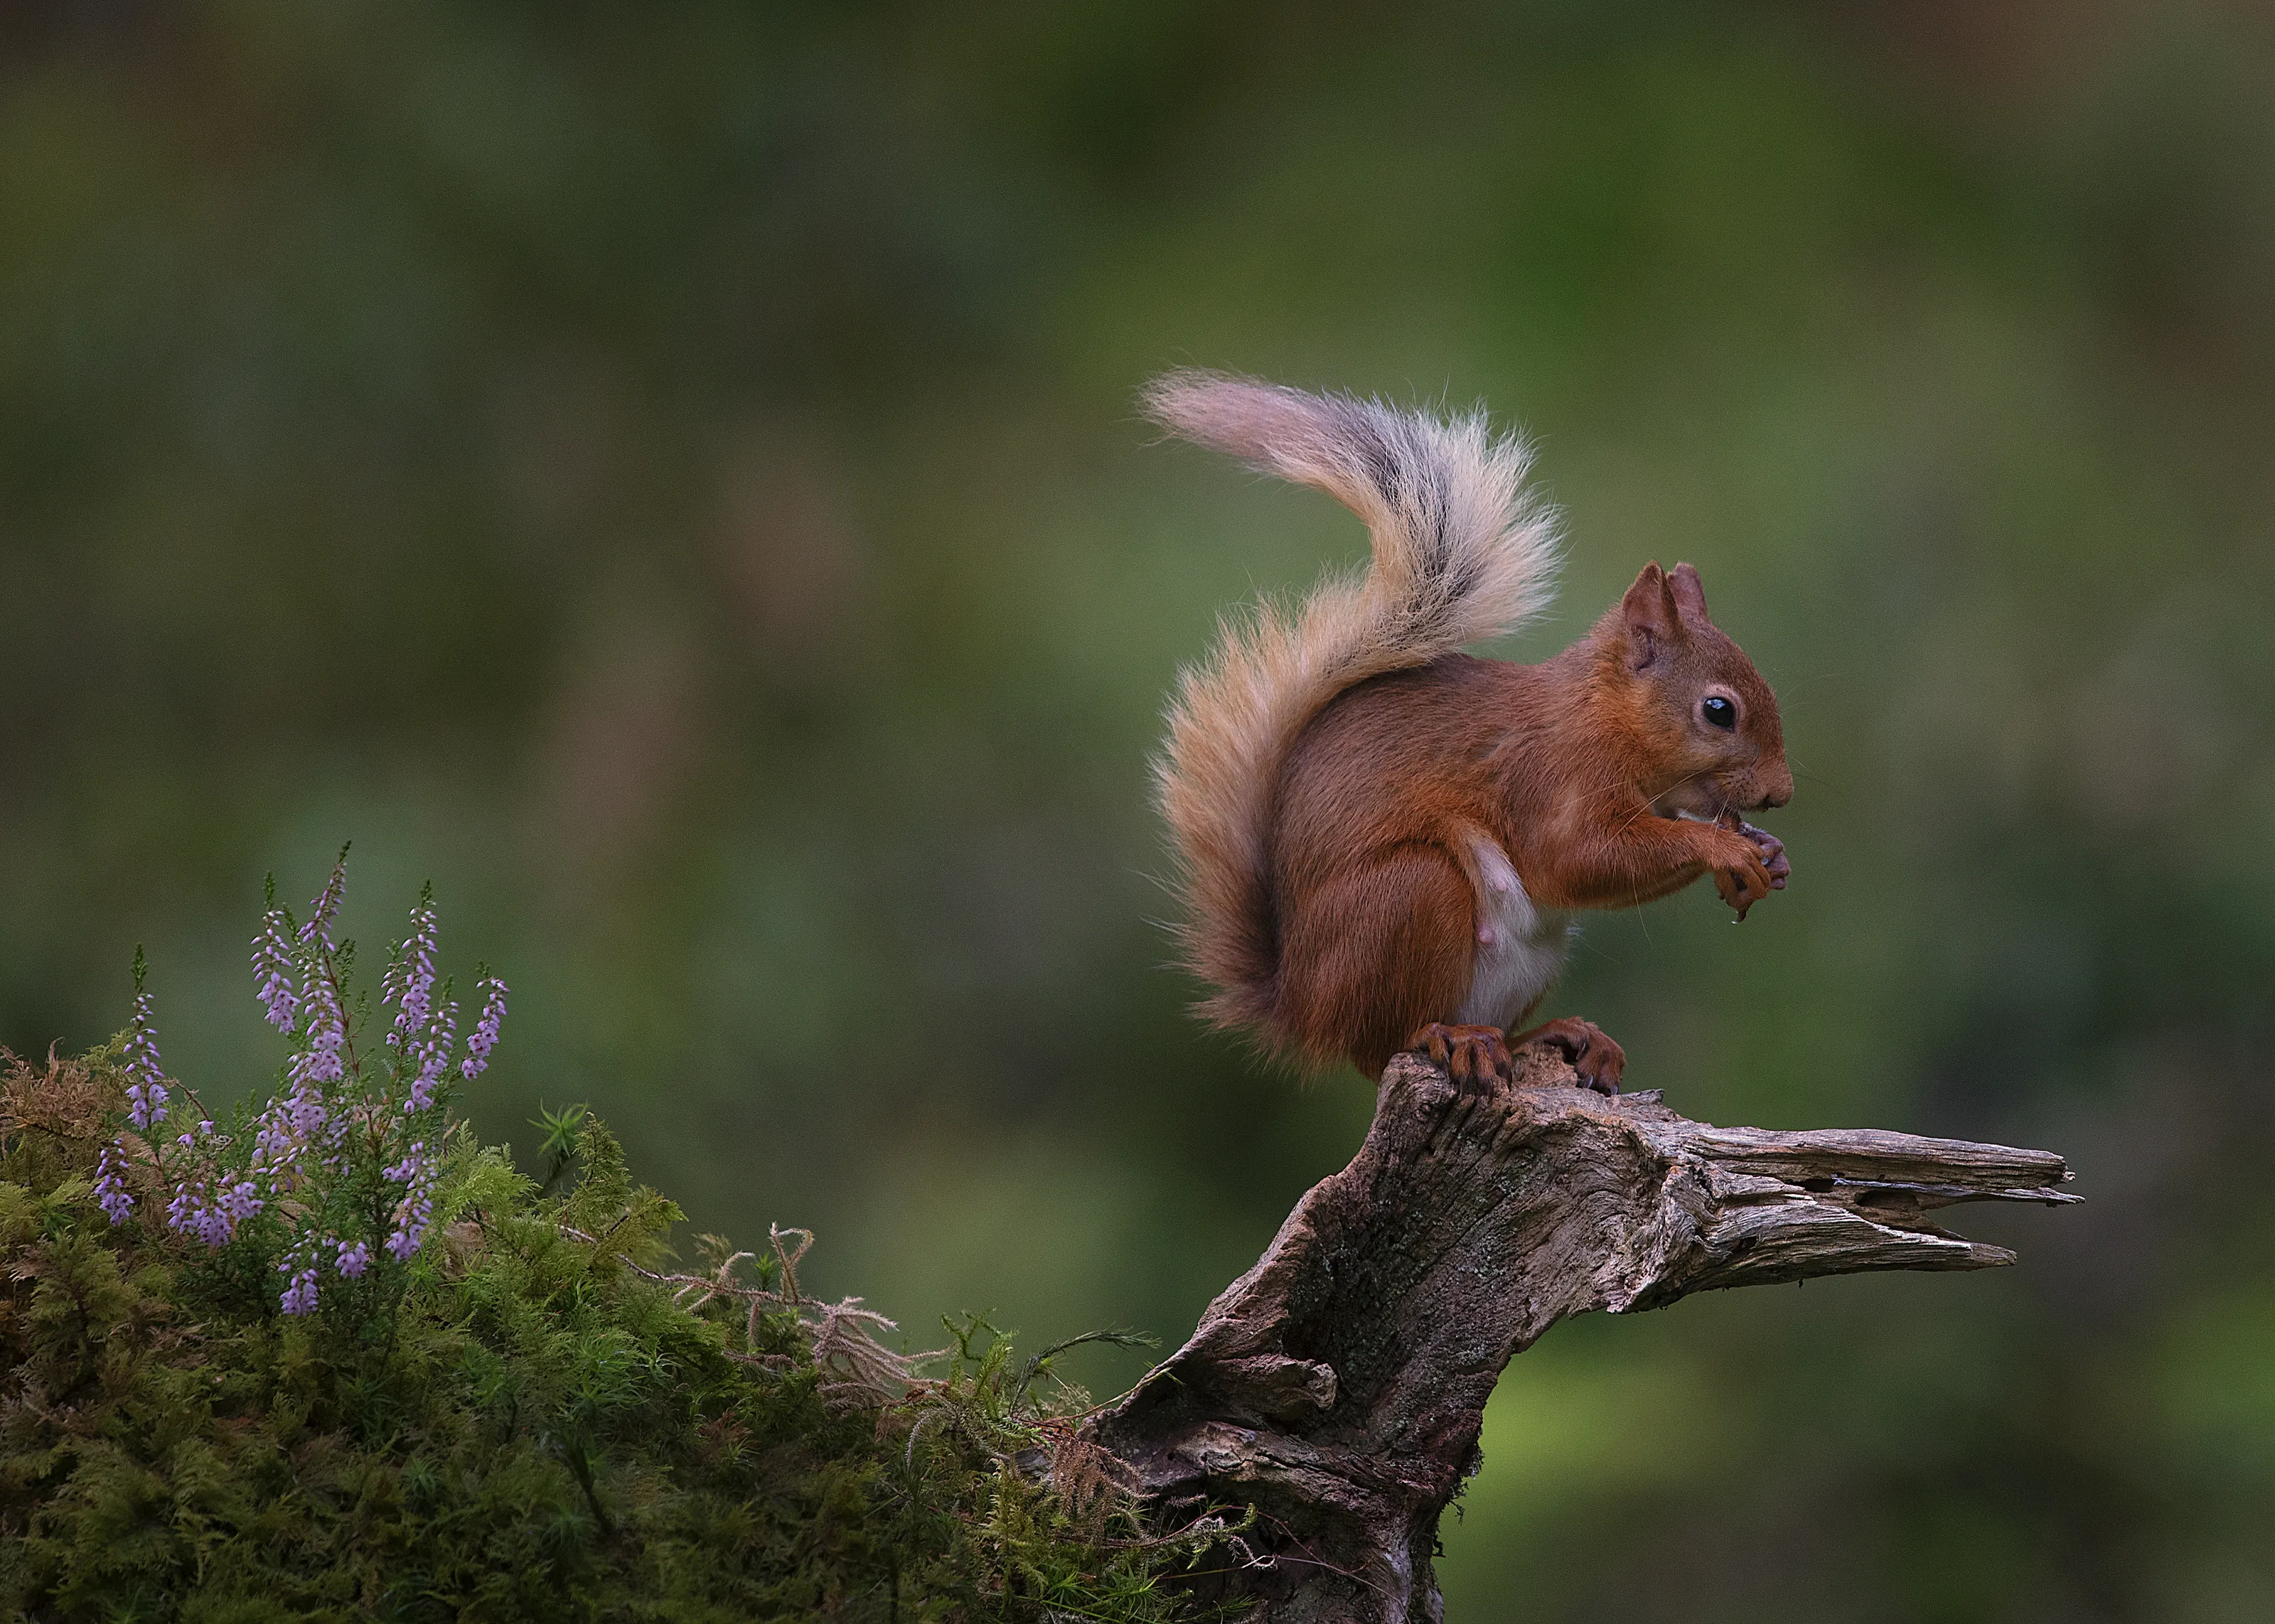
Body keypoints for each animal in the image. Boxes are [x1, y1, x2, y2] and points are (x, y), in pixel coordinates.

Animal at [1145, 372, 1792, 1094]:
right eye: (1719, 710)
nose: (1782, 792)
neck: (1601, 719)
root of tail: (1298, 1006)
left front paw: (1768, 851)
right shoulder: (1549, 776)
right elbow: (1576, 857)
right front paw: (1723, 848)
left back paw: (1558, 1035)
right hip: (1412, 895)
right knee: (1380, 1045)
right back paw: (1447, 1036)